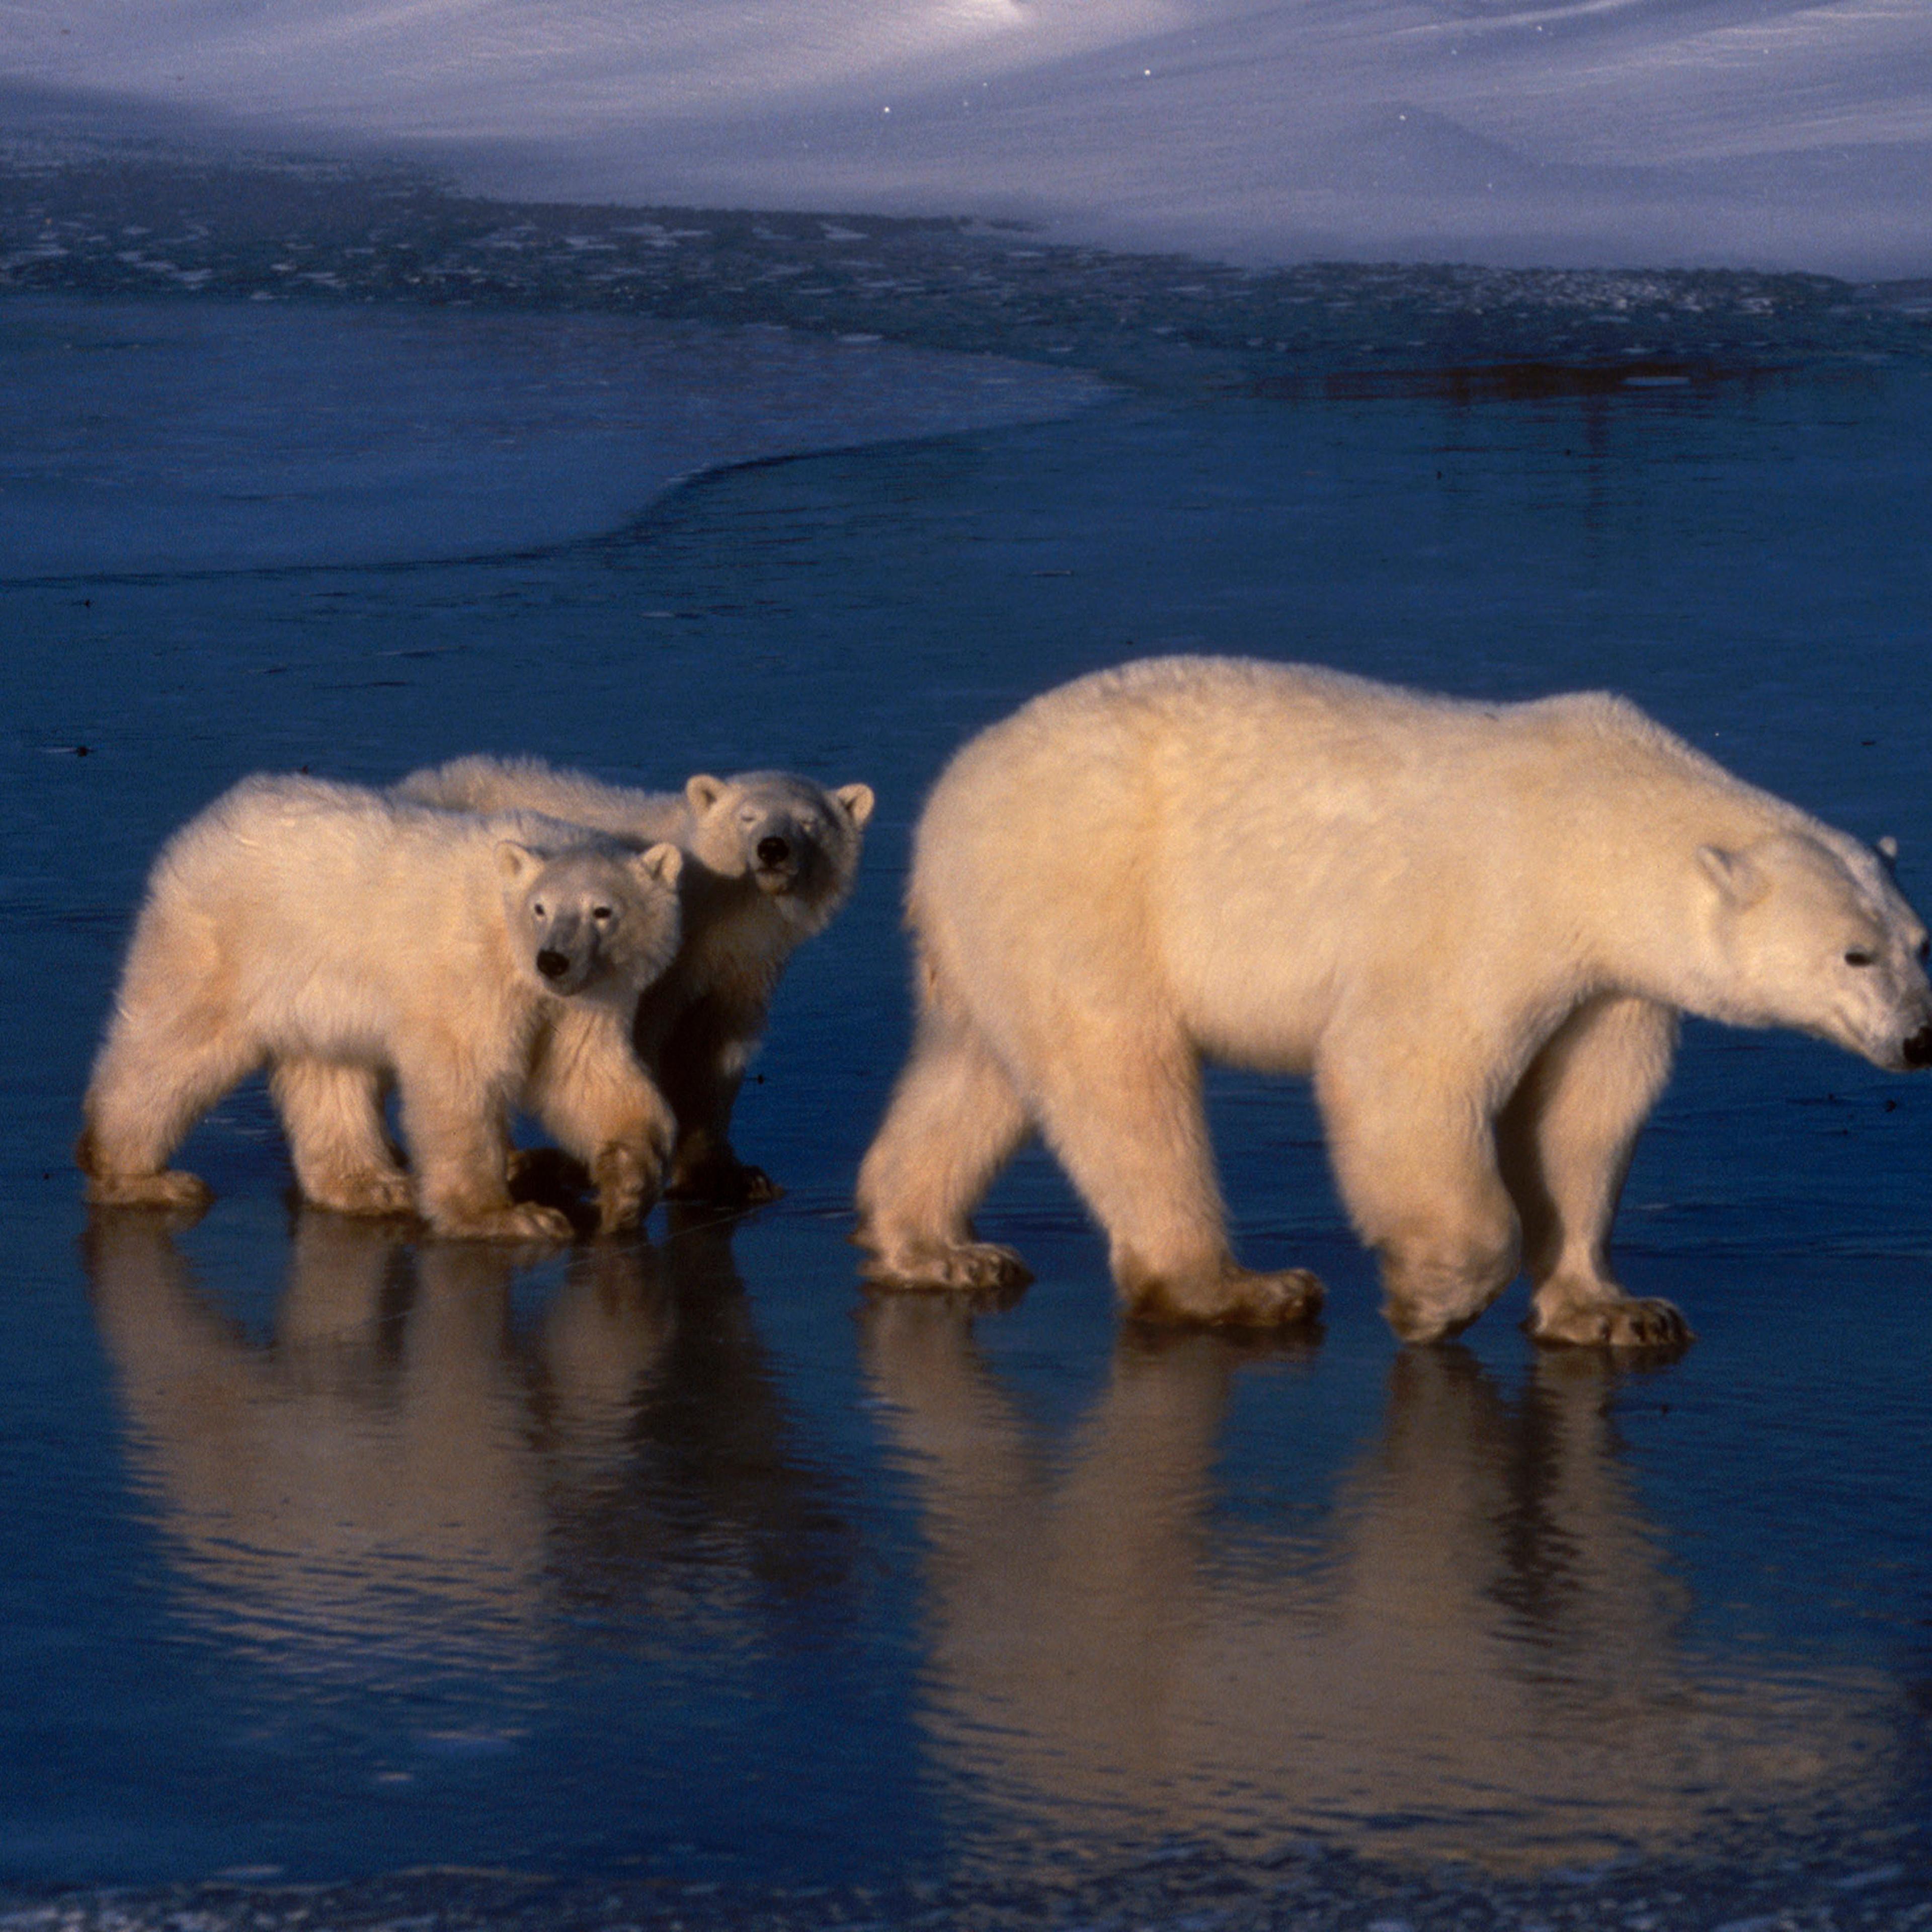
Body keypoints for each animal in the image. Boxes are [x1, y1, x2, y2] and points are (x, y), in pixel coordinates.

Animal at [78, 774, 685, 1240]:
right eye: (540, 908)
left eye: (602, 910)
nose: (553, 960)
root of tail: (203, 827)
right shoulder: (472, 973)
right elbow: (463, 1077)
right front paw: (508, 1217)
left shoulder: (590, 996)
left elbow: (584, 1074)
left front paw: (627, 1186)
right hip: (223, 947)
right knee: (174, 1048)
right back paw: (139, 1176)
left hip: (317, 988)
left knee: (330, 1074)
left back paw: (373, 1185)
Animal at [386, 757, 876, 1203]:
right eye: (748, 817)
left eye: (810, 822)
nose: (773, 848)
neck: (713, 904)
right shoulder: (654, 968)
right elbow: (638, 1045)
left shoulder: (742, 967)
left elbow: (716, 1050)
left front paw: (730, 1174)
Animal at [854, 657, 1932, 1347]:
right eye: (1854, 954)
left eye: (1919, 943)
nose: (1921, 1040)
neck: (1602, 820)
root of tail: (955, 789)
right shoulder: (1492, 909)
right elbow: (1407, 1068)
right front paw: (1435, 1297)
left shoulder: (1612, 980)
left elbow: (1586, 1116)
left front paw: (1614, 1310)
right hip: (1085, 891)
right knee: (1121, 1078)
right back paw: (1236, 1289)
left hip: (993, 930)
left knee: (977, 1069)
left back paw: (934, 1247)